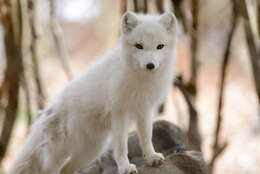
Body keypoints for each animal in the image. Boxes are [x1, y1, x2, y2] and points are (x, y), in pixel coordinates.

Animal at [8, 11, 179, 173]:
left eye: (160, 46)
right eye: (139, 46)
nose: (150, 65)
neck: (142, 81)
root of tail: (49, 110)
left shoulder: (145, 110)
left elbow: (146, 138)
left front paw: (151, 158)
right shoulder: (120, 113)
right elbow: (121, 147)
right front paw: (125, 167)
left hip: (91, 151)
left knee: (65, 169)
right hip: (57, 154)